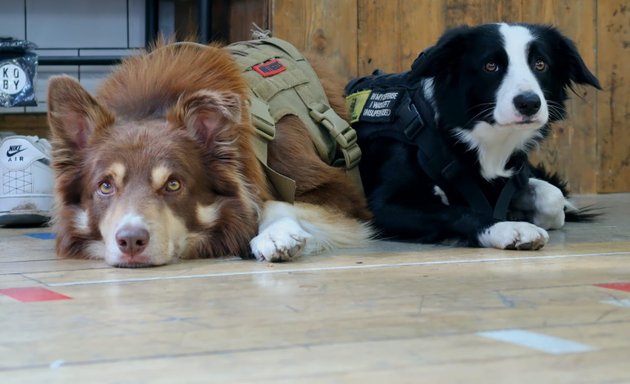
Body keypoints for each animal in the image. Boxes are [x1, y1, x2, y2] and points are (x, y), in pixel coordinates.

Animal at [348, 22, 604, 250]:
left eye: (540, 64)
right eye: (490, 66)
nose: (529, 103)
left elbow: (553, 197)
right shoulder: (380, 206)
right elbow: (457, 212)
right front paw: (509, 228)